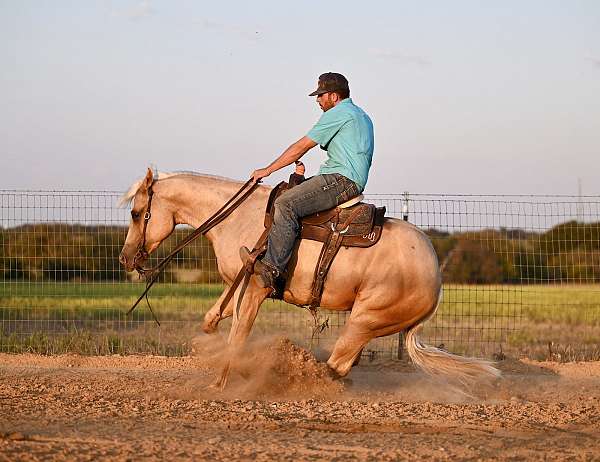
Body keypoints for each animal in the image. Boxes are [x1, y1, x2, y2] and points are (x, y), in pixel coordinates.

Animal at [119, 170, 500, 386]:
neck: (240, 217)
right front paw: (222, 354)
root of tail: (435, 275)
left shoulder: (254, 286)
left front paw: (221, 383)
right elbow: (216, 318)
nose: (125, 258)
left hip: (365, 320)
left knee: (337, 365)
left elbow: (238, 335)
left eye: (137, 213)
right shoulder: (237, 284)